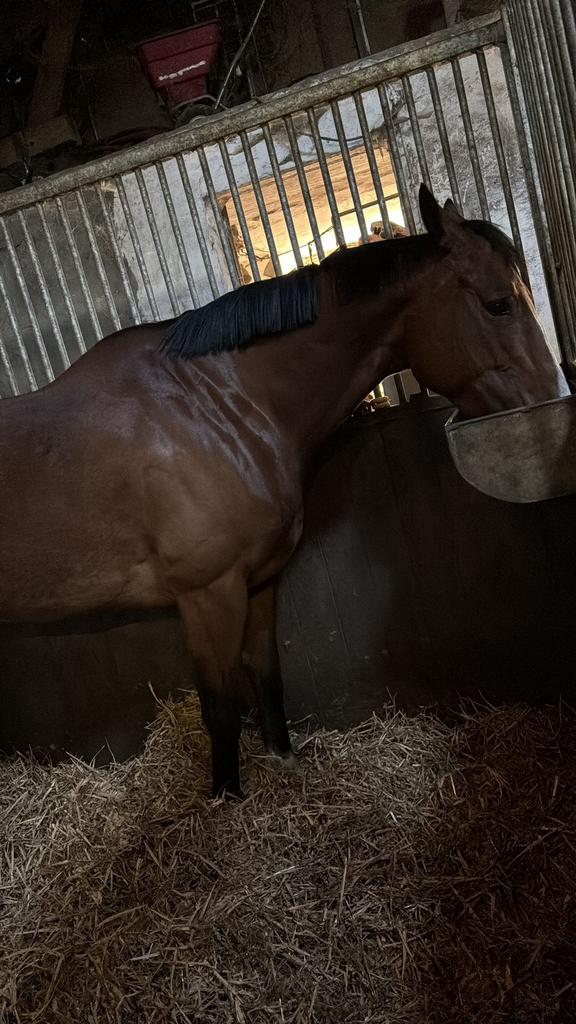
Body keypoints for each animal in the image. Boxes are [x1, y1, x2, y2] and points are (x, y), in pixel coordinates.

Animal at [0, 185, 569, 797]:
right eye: (498, 304)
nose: (551, 407)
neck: (215, 409)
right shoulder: (208, 595)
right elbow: (221, 711)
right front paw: (227, 801)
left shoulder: (259, 582)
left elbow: (268, 676)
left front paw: (284, 761)